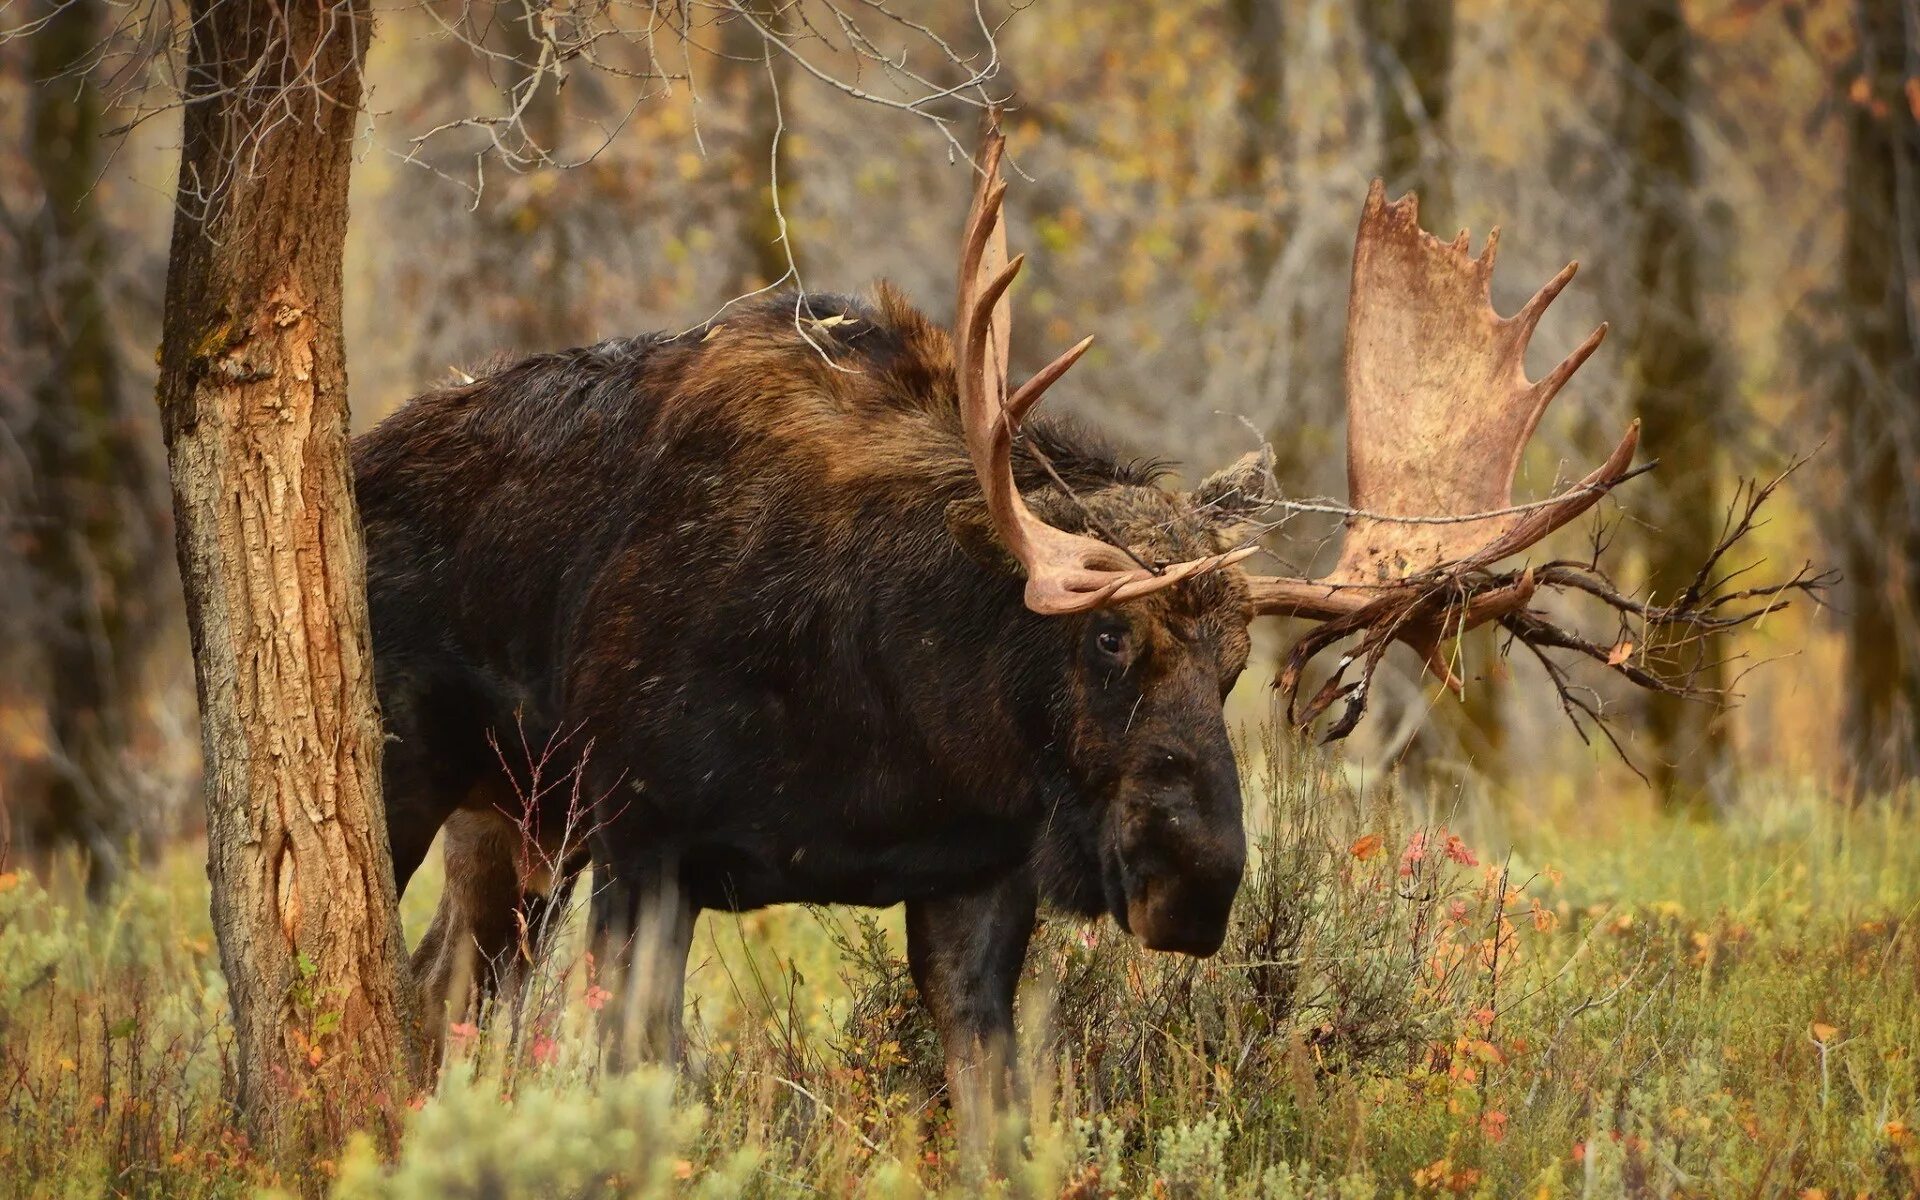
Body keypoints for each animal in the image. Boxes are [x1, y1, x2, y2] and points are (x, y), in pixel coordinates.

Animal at [353, 126, 1774, 1098]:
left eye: (1238, 661)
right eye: (1104, 633)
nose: (1196, 881)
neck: (886, 720)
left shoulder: (975, 882)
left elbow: (996, 1110)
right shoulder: (648, 839)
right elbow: (644, 1083)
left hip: (516, 824)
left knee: (431, 988)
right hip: (423, 778)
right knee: (408, 979)